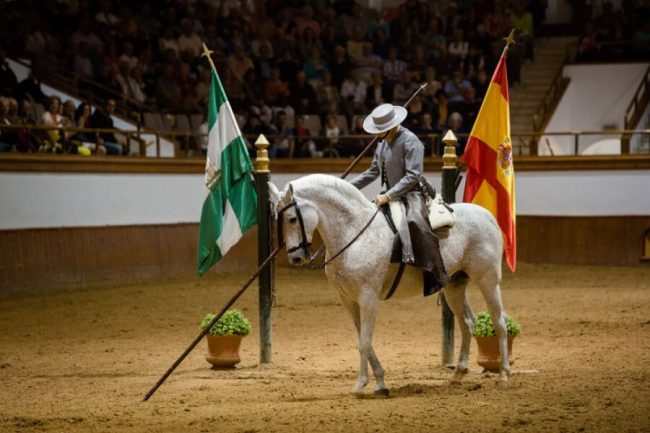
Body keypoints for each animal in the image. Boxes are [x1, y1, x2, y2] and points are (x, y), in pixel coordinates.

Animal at [268, 174, 512, 394]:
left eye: (292, 218)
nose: (296, 258)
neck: (354, 231)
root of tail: (488, 215)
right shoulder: (348, 299)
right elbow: (363, 339)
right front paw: (380, 383)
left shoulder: (368, 298)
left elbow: (364, 342)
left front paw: (360, 385)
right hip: (454, 286)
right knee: (467, 322)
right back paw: (458, 373)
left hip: (488, 279)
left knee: (499, 321)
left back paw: (504, 374)